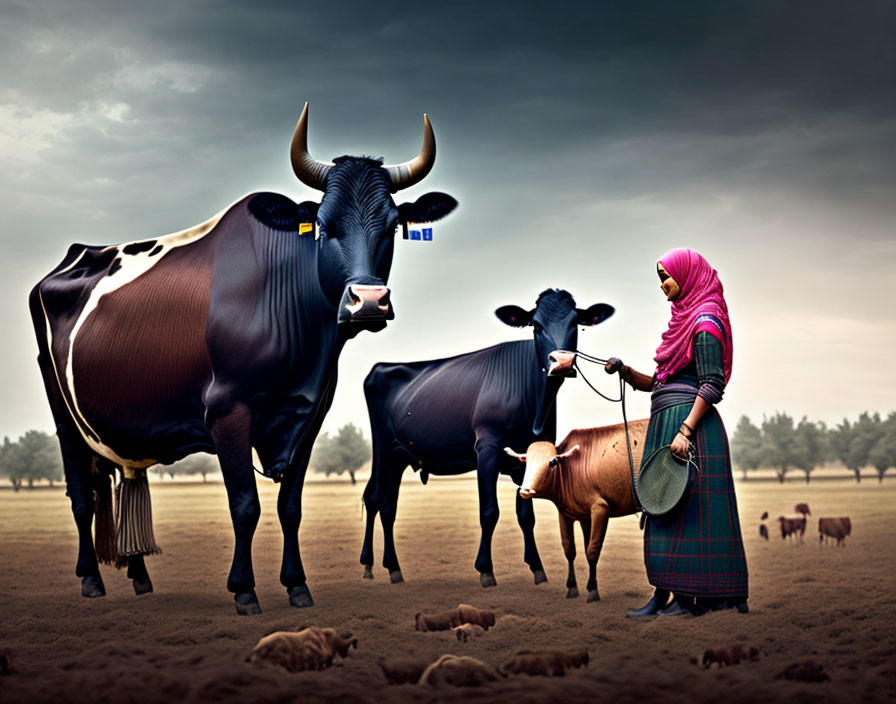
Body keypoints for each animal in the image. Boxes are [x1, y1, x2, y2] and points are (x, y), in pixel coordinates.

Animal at [29, 102, 456, 612]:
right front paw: (244, 589)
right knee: (83, 495)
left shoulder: (309, 416)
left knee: (120, 482)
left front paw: (297, 585)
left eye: (393, 225)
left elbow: (290, 507)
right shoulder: (227, 411)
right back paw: (91, 579)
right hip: (64, 417)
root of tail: (75, 255)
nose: (368, 302)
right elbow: (245, 505)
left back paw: (139, 576)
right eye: (324, 225)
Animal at [360, 288, 612, 584]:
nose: (561, 363)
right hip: (382, 448)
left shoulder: (528, 456)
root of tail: (384, 366)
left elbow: (526, 515)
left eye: (576, 323)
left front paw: (537, 567)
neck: (535, 409)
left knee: (389, 508)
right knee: (375, 498)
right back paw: (368, 564)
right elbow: (489, 512)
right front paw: (485, 569)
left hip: (399, 456)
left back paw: (393, 568)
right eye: (536, 326)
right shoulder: (488, 450)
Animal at [500, 420, 648, 604]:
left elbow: (592, 550)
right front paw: (572, 588)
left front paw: (593, 590)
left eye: (552, 462)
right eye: (526, 462)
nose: (526, 490)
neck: (570, 470)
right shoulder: (570, 515)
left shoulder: (600, 509)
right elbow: (570, 549)